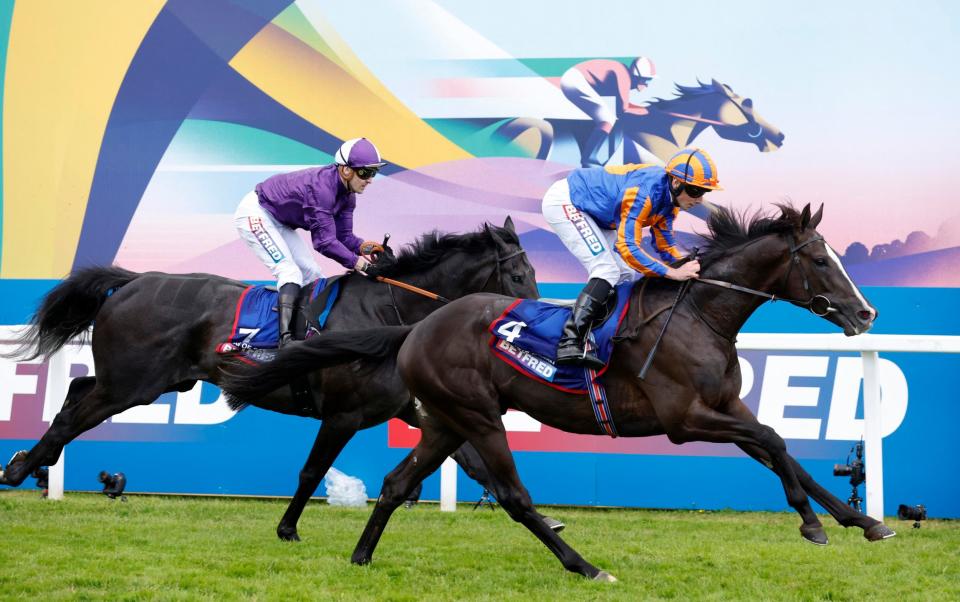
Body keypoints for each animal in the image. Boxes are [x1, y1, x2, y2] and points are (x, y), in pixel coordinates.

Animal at [1, 217, 564, 540]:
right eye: (518, 275)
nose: (539, 318)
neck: (391, 310)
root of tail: (136, 279)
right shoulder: (343, 414)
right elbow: (311, 471)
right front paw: (288, 528)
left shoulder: (419, 409)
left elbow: (477, 466)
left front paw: (548, 521)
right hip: (133, 384)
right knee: (74, 413)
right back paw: (21, 467)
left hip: (144, 381)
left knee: (76, 392)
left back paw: (35, 465)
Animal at [221, 204, 896, 580]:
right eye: (820, 260)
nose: (866, 313)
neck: (699, 313)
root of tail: (417, 326)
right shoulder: (687, 418)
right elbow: (775, 442)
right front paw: (816, 525)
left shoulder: (724, 406)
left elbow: (781, 450)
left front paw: (862, 522)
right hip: (477, 416)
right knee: (514, 497)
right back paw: (587, 567)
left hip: (444, 420)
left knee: (395, 483)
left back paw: (362, 558)